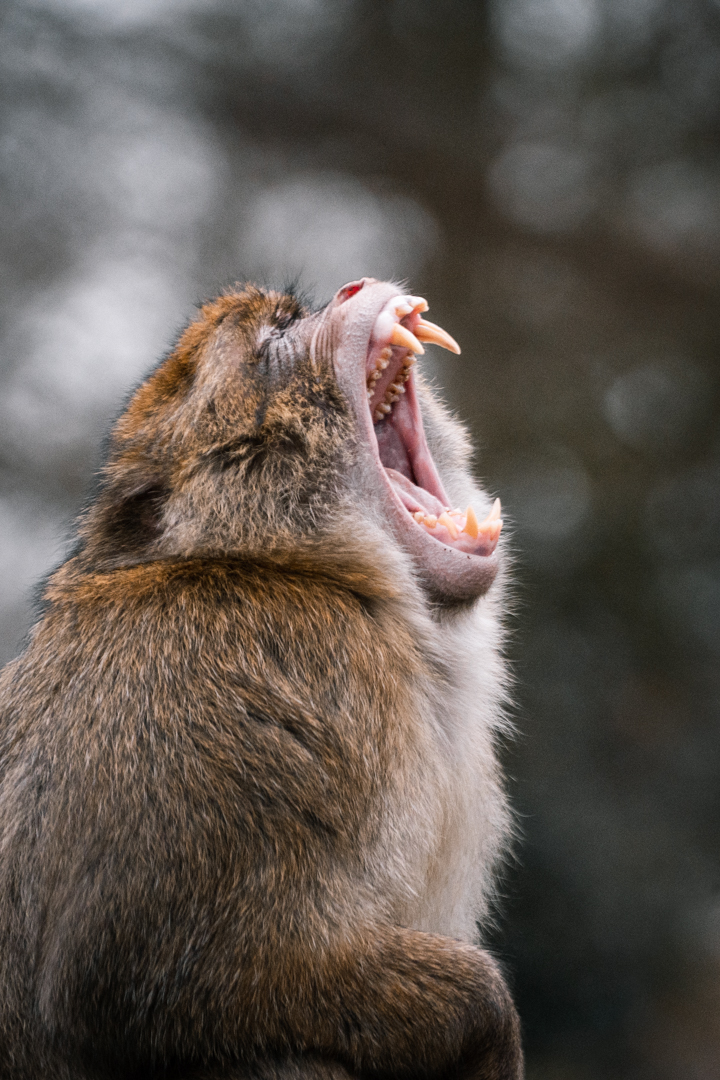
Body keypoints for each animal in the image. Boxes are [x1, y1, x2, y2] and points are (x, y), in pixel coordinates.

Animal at [0, 277, 522, 1080]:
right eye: (276, 340)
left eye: (293, 314)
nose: (351, 288)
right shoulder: (267, 668)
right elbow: (119, 981)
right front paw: (480, 1015)